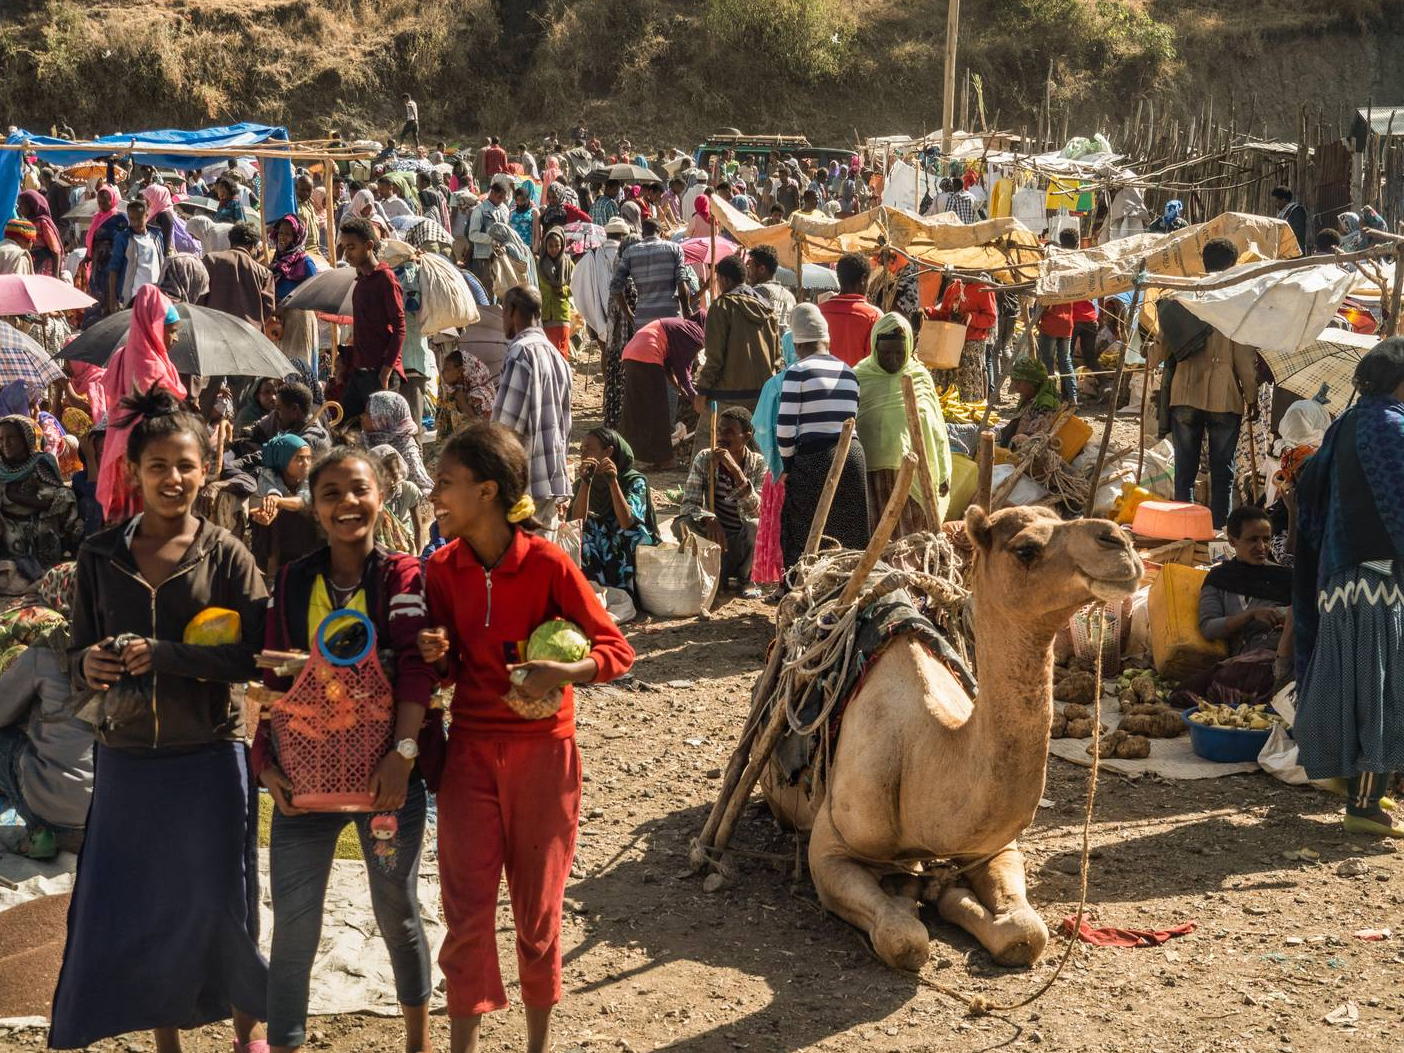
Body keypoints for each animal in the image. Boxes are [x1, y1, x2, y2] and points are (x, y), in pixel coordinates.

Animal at [763, 508, 1145, 971]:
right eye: (1025, 549)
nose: (1120, 542)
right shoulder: (830, 850)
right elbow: (904, 939)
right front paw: (911, 896)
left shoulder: (995, 847)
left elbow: (1026, 934)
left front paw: (947, 892)